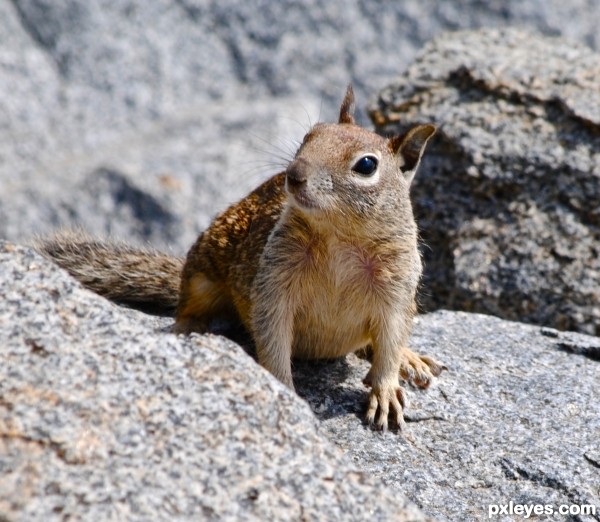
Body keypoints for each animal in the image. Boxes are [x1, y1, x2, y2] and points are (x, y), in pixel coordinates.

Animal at [35, 84, 442, 426]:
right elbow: (273, 339)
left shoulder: (396, 290)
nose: (293, 174)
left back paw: (410, 359)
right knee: (189, 304)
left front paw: (386, 389)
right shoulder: (274, 285)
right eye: (309, 136)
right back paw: (188, 328)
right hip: (204, 273)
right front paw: (284, 393)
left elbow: (389, 341)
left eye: (366, 165)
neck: (339, 236)